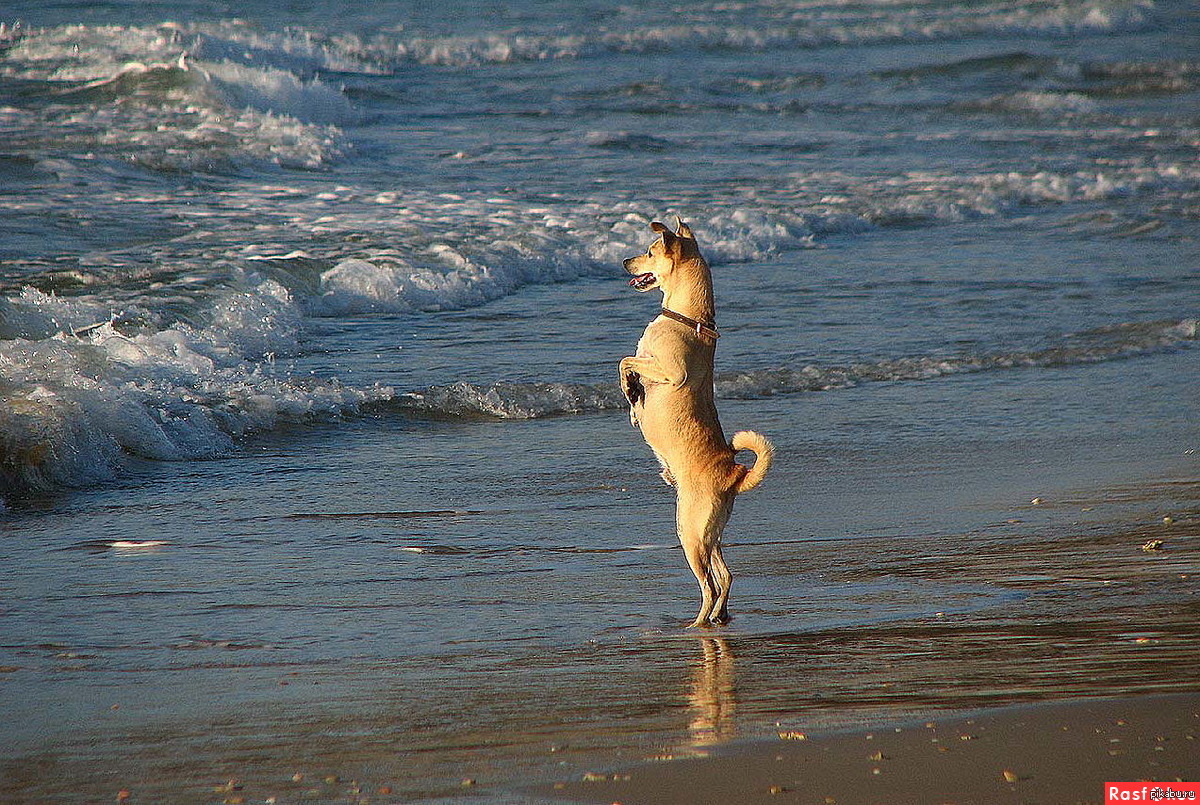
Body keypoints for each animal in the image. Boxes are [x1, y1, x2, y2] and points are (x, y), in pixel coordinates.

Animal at [619, 218, 777, 628]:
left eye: (650, 252)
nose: (625, 261)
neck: (690, 319)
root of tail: (734, 474)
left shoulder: (670, 373)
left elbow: (625, 361)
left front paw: (631, 391)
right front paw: (633, 403)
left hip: (689, 534)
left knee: (708, 583)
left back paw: (697, 624)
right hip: (709, 535)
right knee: (725, 577)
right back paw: (719, 617)